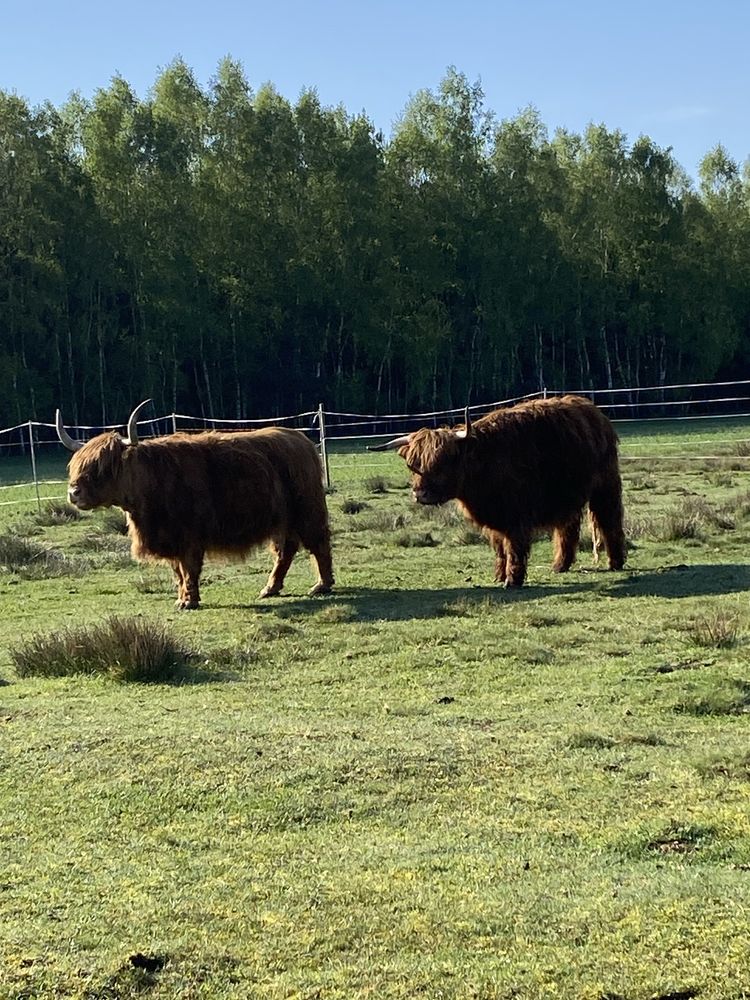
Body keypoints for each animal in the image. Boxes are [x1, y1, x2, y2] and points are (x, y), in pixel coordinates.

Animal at [58, 400, 338, 608]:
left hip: (307, 510)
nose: (74, 492)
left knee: (318, 543)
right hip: (281, 520)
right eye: (77, 466)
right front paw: (182, 597)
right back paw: (270, 588)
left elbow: (189, 568)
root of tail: (301, 440)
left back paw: (321, 585)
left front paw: (189, 601)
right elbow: (177, 571)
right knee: (285, 550)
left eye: (102, 467)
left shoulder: (190, 536)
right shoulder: (169, 538)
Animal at [372, 394, 628, 584]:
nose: (420, 494)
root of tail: (593, 411)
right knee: (568, 528)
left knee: (610, 521)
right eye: (413, 465)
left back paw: (615, 562)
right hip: (567, 496)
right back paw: (559, 565)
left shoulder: (517, 517)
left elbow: (514, 547)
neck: (483, 462)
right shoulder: (493, 519)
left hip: (605, 487)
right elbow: (500, 548)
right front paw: (499, 575)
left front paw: (513, 579)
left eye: (442, 461)